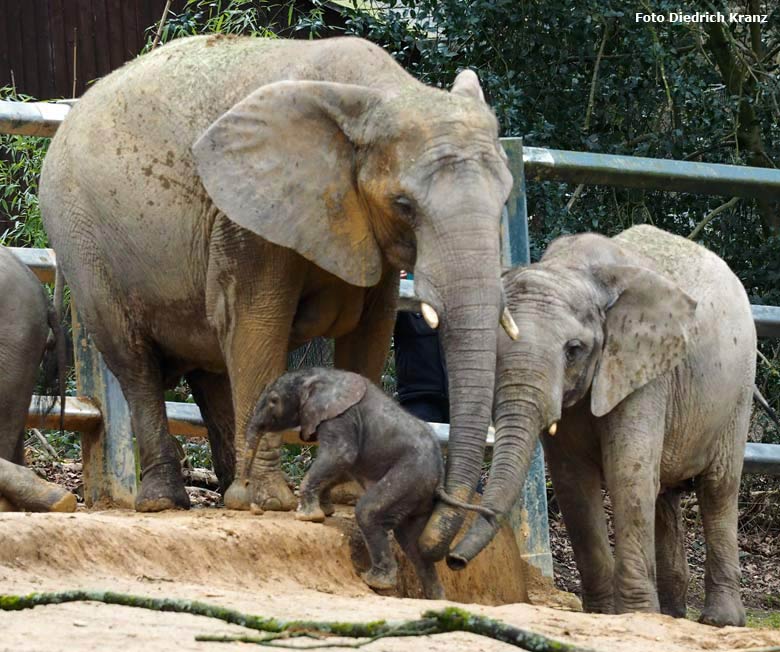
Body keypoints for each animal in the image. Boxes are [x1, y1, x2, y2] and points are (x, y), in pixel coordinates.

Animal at [42, 30, 516, 548]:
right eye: (403, 204)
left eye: (506, 199)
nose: (445, 548)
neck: (378, 93)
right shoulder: (247, 217)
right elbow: (257, 325)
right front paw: (269, 502)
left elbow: (369, 337)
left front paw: (349, 494)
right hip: (85, 246)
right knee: (136, 364)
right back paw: (168, 502)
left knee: (212, 368)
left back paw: (231, 489)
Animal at [245, 364, 494, 600]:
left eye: (273, 401)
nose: (248, 494)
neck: (320, 376)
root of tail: (440, 479)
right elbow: (344, 468)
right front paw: (325, 511)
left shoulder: (341, 418)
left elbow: (341, 455)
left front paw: (308, 517)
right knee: (411, 541)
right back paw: (436, 598)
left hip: (409, 476)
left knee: (369, 513)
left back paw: (375, 582)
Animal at [450, 225, 756, 628]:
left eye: (573, 350)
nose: (454, 561)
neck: (574, 267)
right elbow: (573, 484)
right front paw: (603, 613)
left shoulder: (642, 370)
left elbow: (628, 474)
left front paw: (638, 615)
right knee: (665, 496)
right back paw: (672, 616)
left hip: (737, 392)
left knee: (718, 488)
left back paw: (720, 621)